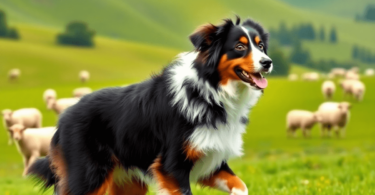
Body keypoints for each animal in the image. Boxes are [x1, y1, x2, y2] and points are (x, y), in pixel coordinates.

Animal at [28, 17, 274, 195]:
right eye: (239, 47)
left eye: (261, 46)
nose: (268, 62)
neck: (211, 92)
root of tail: (63, 118)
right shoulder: (171, 165)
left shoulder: (211, 158)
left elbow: (241, 186)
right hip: (89, 176)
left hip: (127, 183)